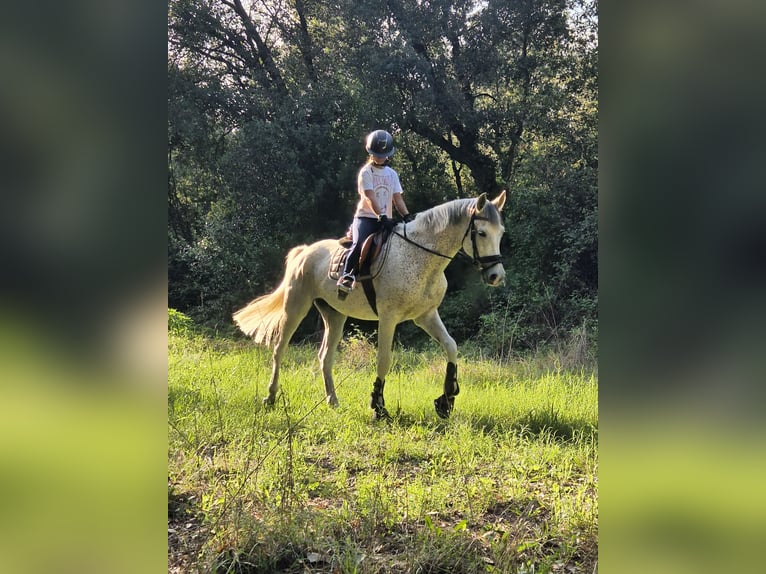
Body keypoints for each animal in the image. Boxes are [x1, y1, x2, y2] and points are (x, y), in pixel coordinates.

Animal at [233, 191, 507, 420]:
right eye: (482, 233)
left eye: (501, 233)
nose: (496, 276)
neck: (421, 256)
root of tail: (305, 251)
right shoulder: (388, 318)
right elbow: (384, 359)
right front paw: (378, 406)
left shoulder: (426, 316)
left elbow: (451, 347)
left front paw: (446, 400)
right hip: (296, 306)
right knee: (279, 349)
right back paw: (270, 397)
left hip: (334, 315)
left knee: (325, 356)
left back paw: (333, 401)